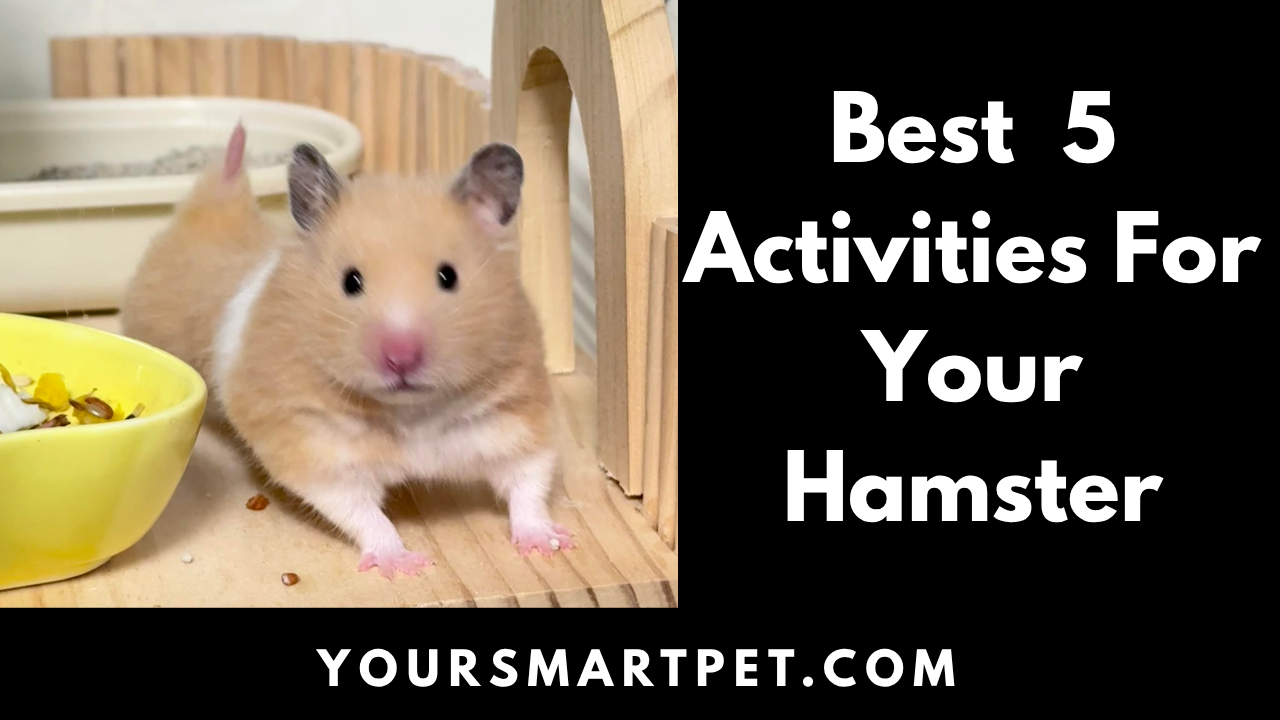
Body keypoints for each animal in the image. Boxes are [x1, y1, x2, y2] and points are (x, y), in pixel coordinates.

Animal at [122, 125, 573, 579]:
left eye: (449, 276)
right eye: (351, 282)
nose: (401, 357)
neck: (412, 411)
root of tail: (211, 210)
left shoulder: (518, 415)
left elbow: (528, 481)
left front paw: (548, 544)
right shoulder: (314, 446)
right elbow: (363, 513)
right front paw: (405, 566)